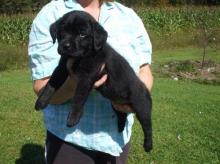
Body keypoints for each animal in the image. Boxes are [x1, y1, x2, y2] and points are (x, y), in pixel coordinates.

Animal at [35, 10, 153, 152]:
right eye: (62, 31)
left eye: (82, 34)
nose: (65, 46)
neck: (82, 56)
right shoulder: (62, 68)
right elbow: (51, 84)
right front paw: (41, 102)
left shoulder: (87, 76)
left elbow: (78, 97)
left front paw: (73, 117)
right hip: (116, 104)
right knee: (122, 115)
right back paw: (120, 128)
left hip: (142, 106)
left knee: (147, 126)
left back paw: (148, 145)